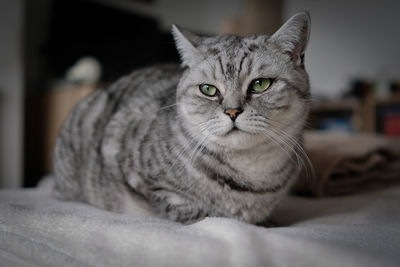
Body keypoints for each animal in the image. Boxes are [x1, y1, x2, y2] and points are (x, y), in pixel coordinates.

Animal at [51, 11, 310, 225]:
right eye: (208, 89)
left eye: (260, 84)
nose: (232, 112)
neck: (250, 174)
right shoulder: (143, 180)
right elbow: (195, 211)